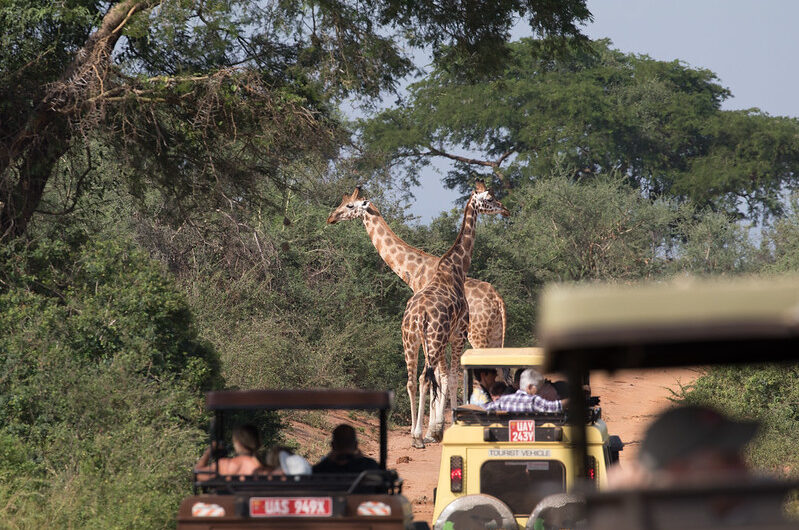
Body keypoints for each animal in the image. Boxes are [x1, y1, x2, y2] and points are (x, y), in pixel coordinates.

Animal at [404, 182, 510, 446]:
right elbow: (452, 376)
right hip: (436, 340)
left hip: (410, 341)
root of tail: (418, 316)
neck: (456, 269)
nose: (505, 210)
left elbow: (445, 377)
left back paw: (414, 434)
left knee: (412, 380)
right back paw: (419, 436)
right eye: (490, 198)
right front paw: (449, 424)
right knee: (424, 378)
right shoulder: (459, 334)